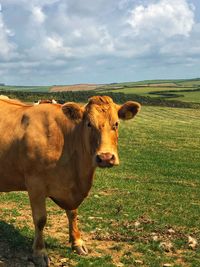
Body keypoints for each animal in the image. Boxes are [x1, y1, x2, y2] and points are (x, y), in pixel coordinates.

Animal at [0, 95, 141, 266]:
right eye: (89, 124)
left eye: (116, 124)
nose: (106, 157)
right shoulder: (35, 184)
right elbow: (40, 219)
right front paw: (39, 252)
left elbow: (73, 213)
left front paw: (77, 242)